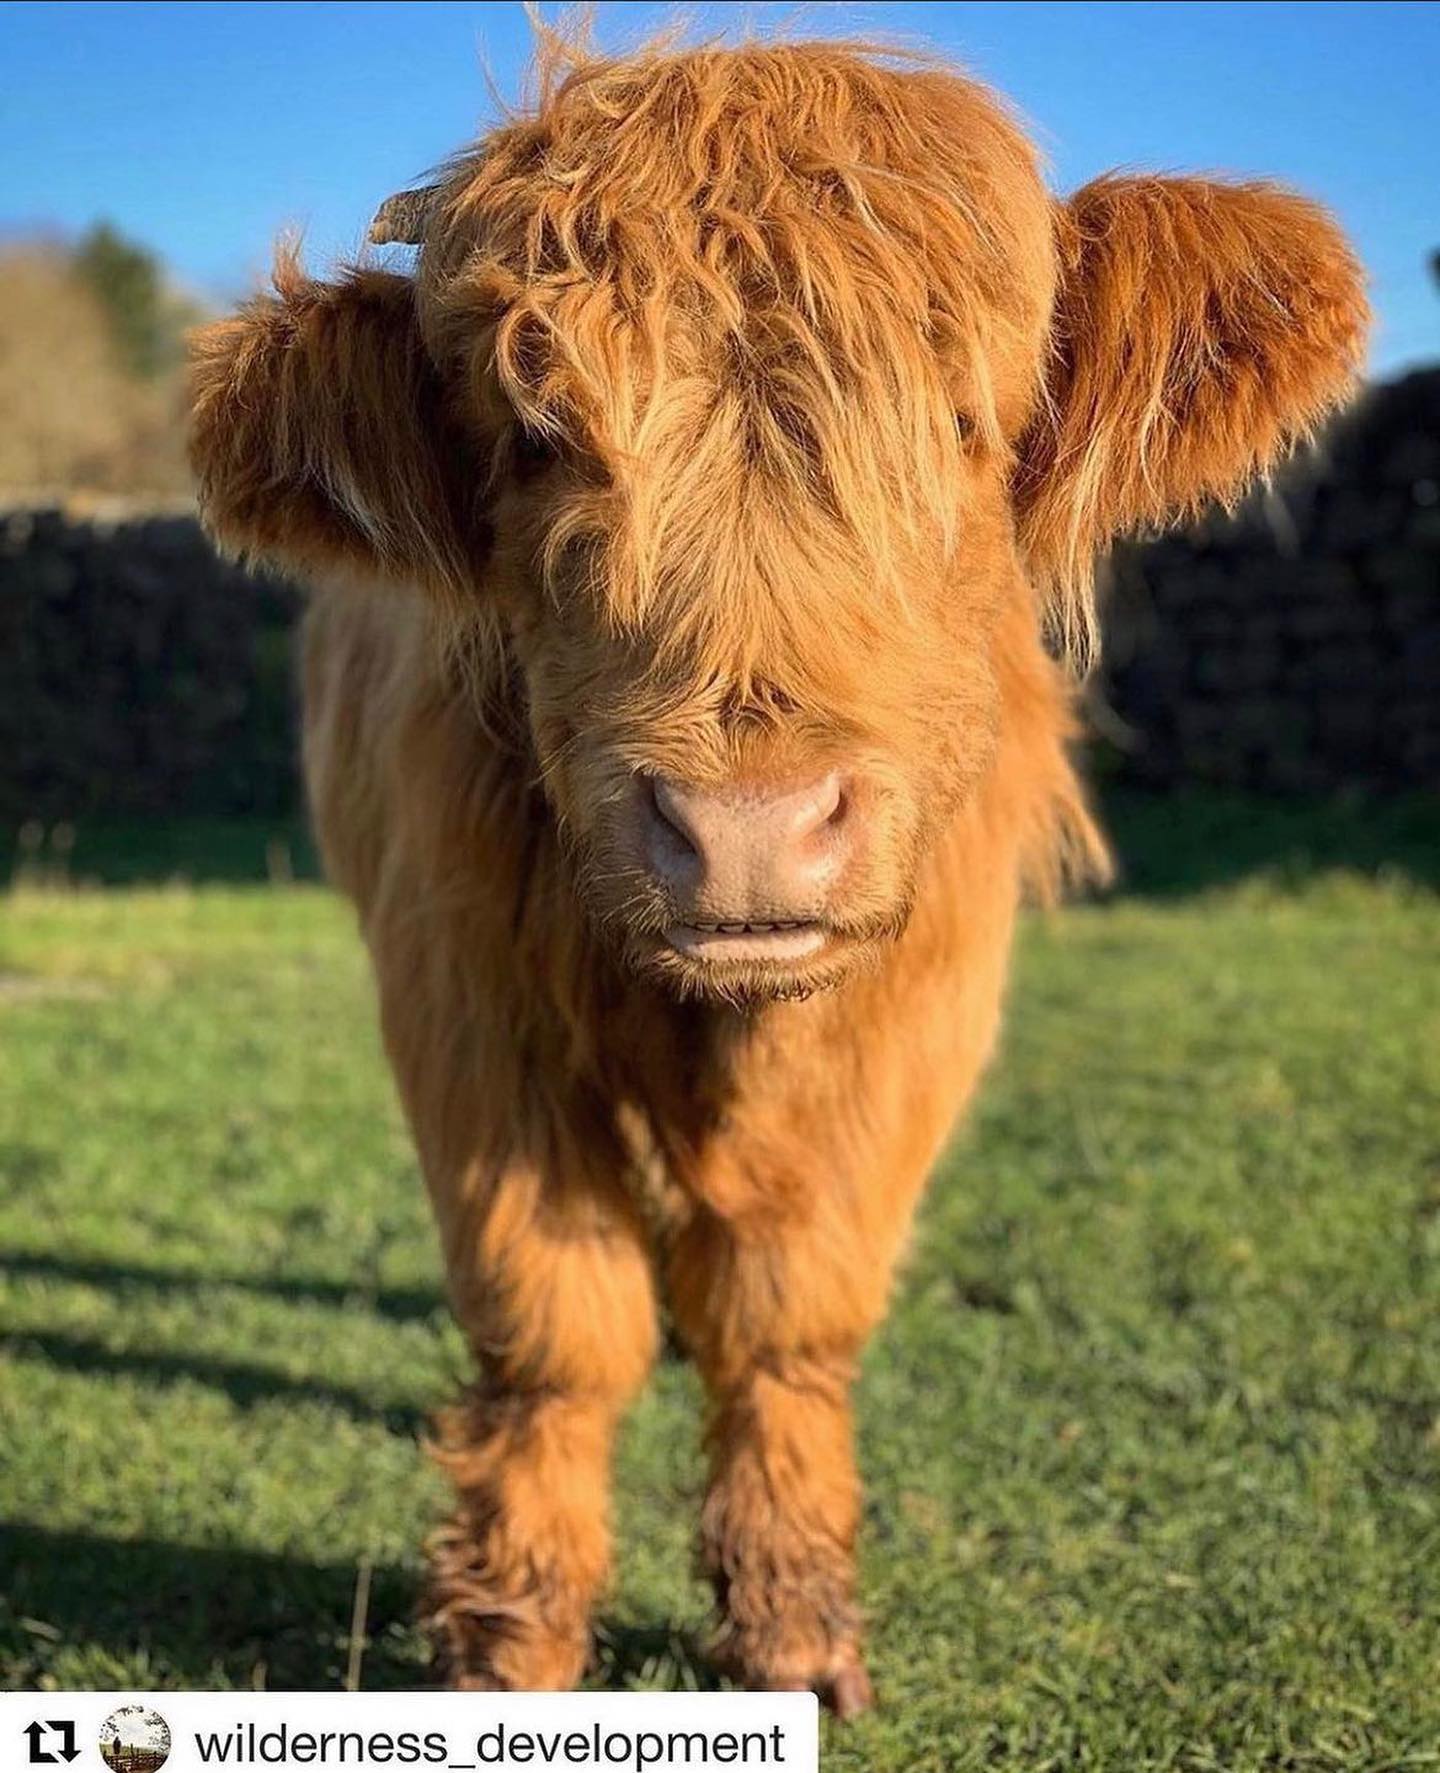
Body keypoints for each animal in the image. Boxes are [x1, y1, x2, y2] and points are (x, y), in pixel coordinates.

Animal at [185, 27, 1369, 1716]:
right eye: (536, 439)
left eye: (965, 423)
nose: (748, 824)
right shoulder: (460, 996)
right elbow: (554, 1319)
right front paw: (508, 1640)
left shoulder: (923, 1002)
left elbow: (791, 1306)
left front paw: (796, 1627)